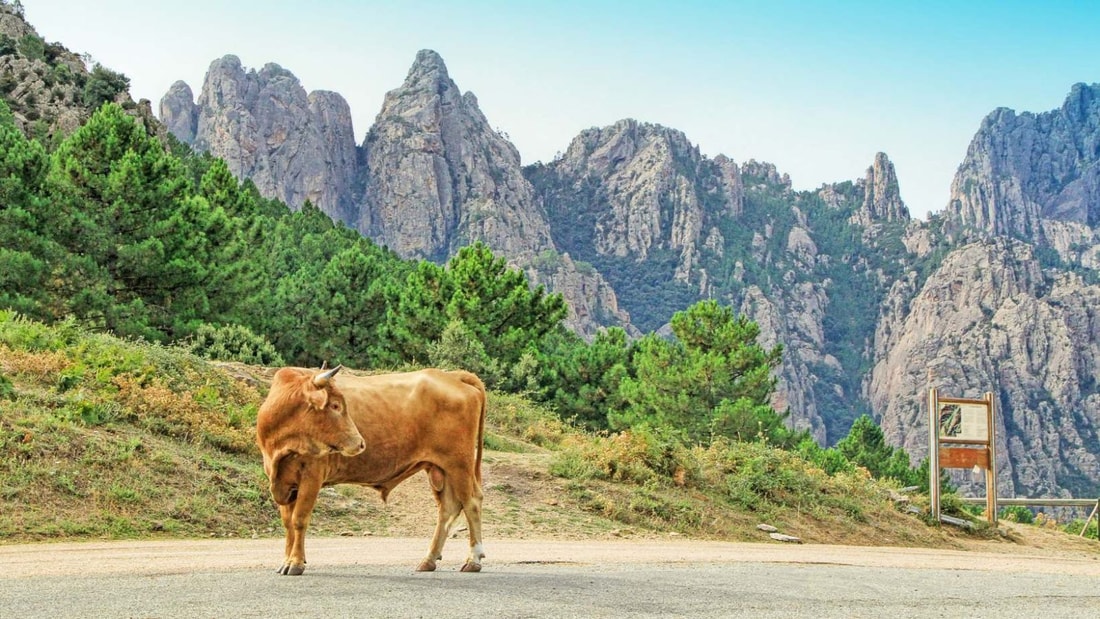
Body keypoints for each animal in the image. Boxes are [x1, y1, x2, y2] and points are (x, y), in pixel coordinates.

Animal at [256, 365, 486, 576]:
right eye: (335, 405)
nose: (360, 443)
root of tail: (453, 375)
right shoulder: (284, 481)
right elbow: (288, 523)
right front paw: (288, 560)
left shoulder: (311, 476)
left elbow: (299, 520)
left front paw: (295, 563)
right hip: (439, 469)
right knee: (447, 508)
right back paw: (429, 559)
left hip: (459, 465)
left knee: (471, 503)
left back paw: (473, 560)